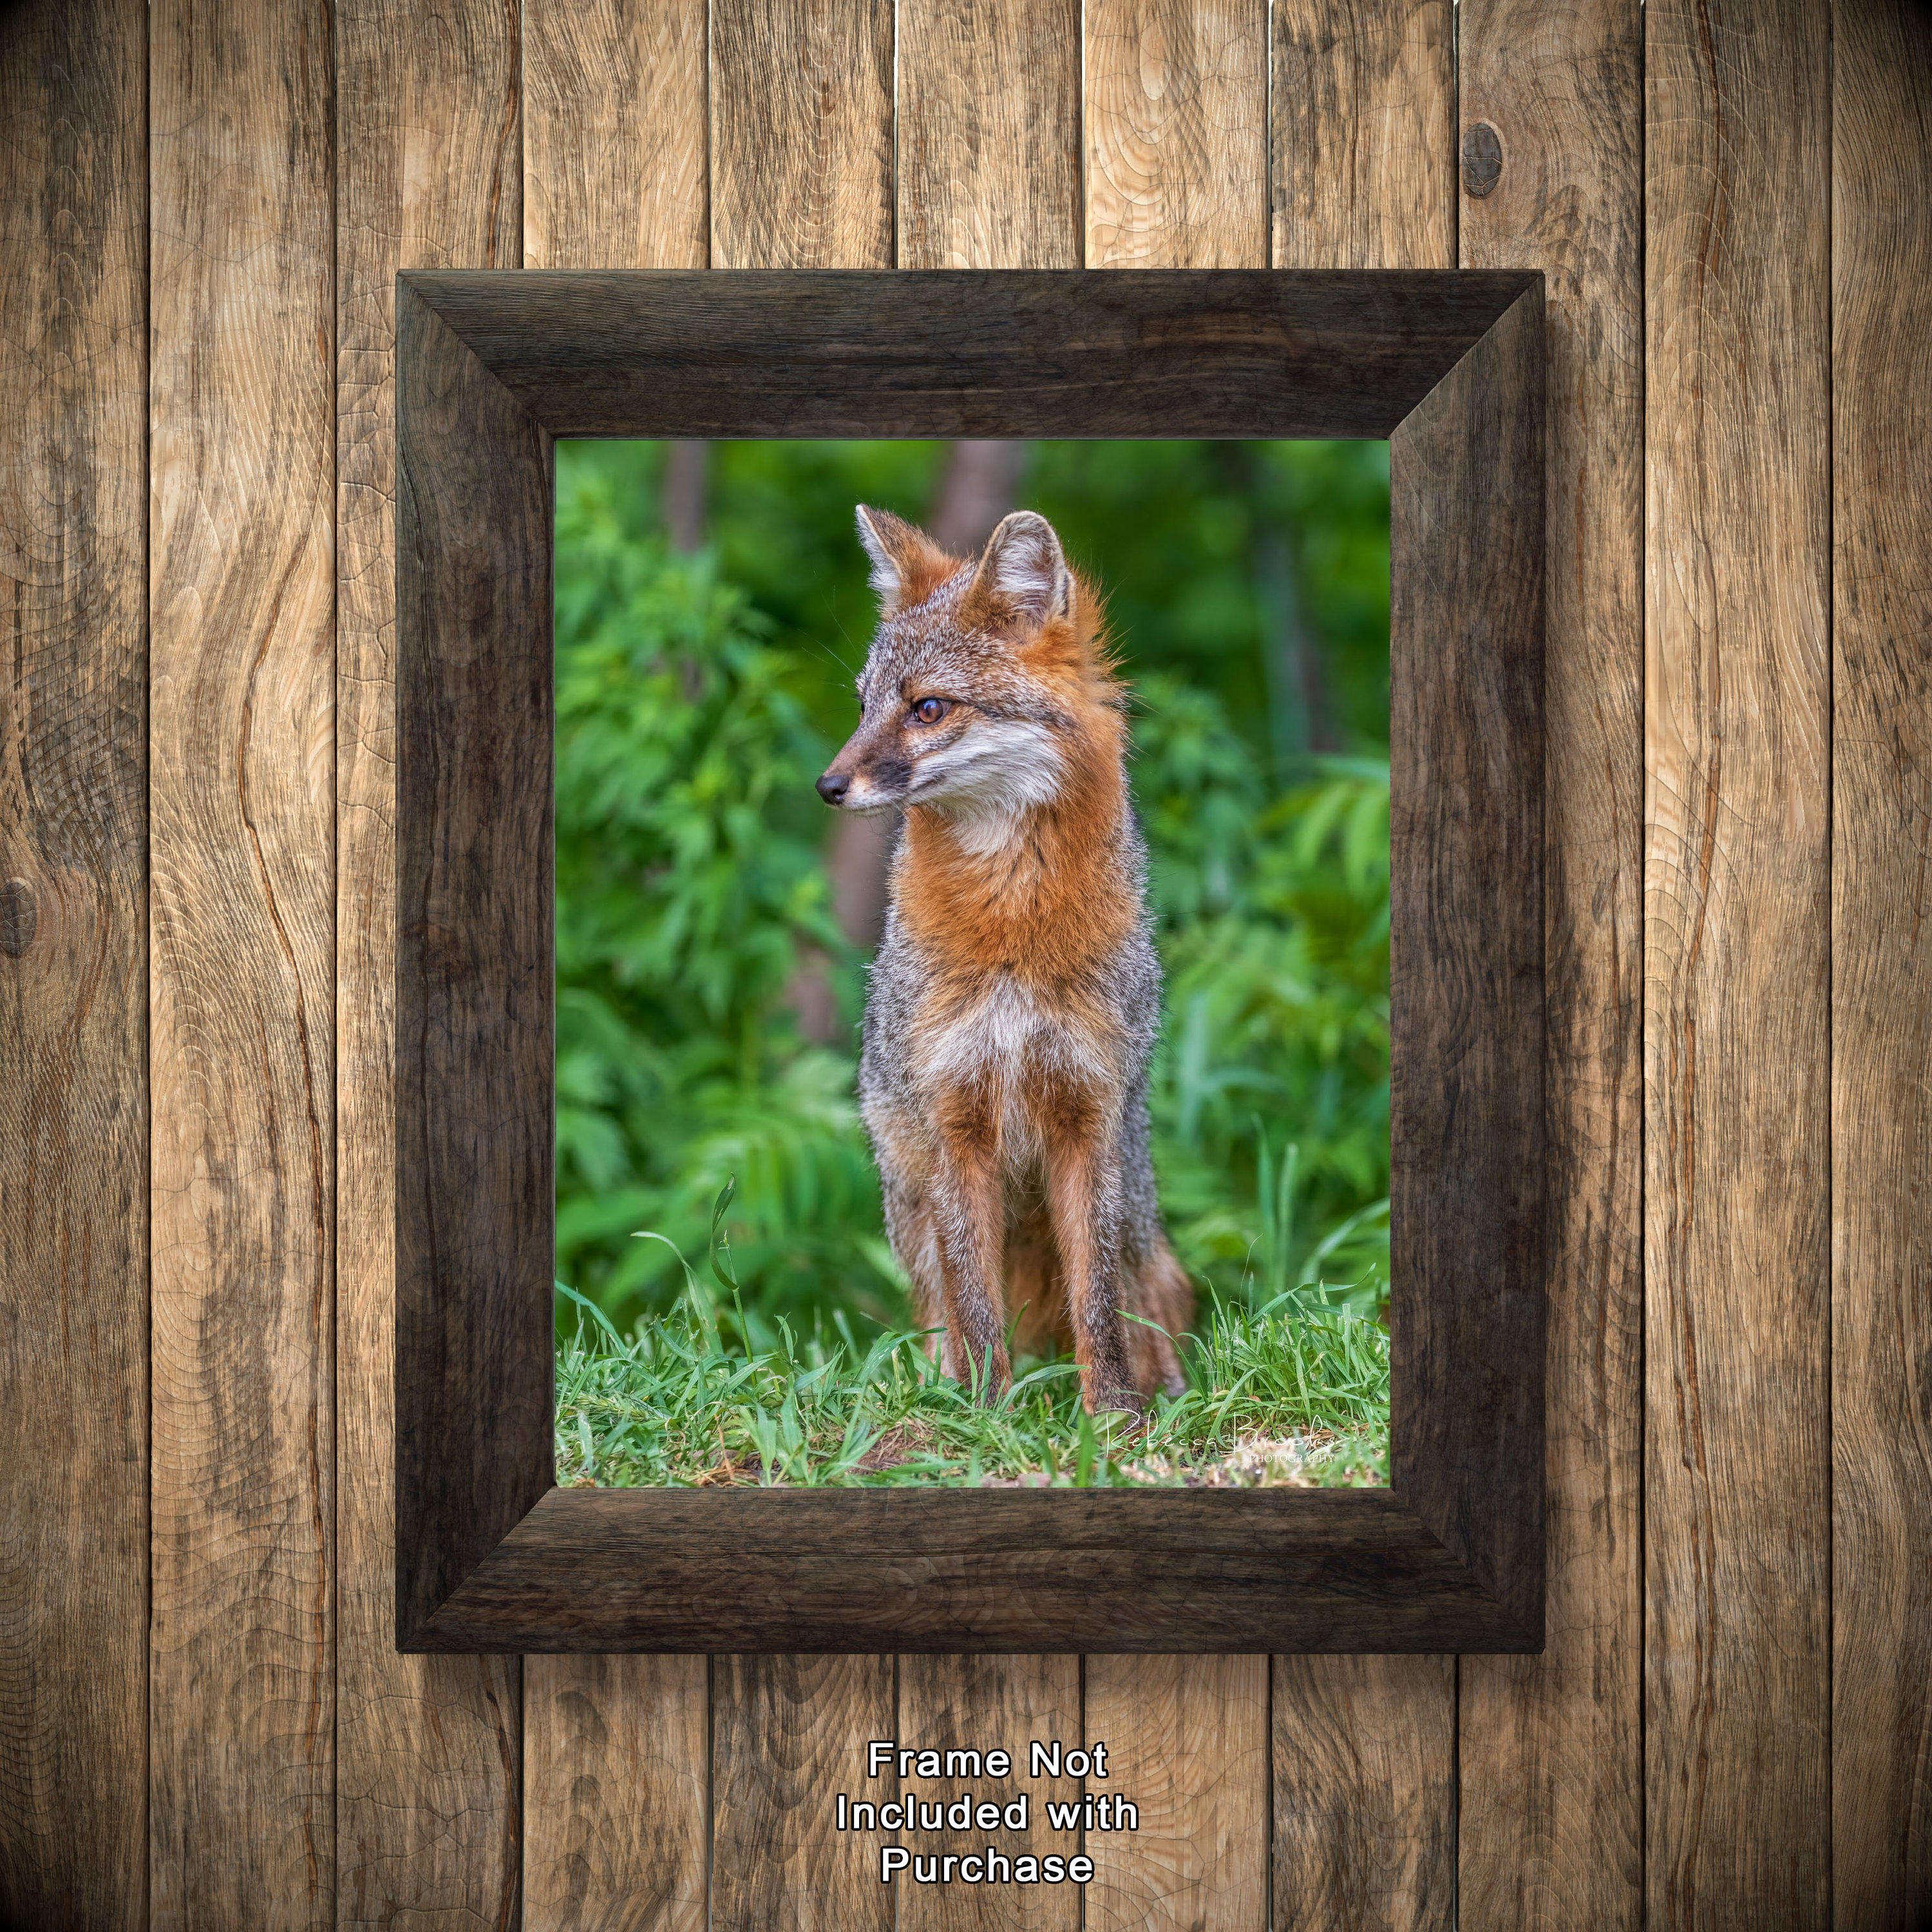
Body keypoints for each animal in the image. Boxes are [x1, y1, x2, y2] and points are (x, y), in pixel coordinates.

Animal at [816, 502, 1193, 1414]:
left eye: (927, 708)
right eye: (864, 705)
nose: (828, 786)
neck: (1012, 928)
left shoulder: (1086, 1113)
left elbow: (1097, 1300)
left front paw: (1113, 1418)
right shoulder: (954, 1117)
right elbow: (977, 1303)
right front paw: (987, 1419)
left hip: (1135, 1211)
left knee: (1141, 1293)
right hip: (912, 1204)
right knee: (941, 1317)